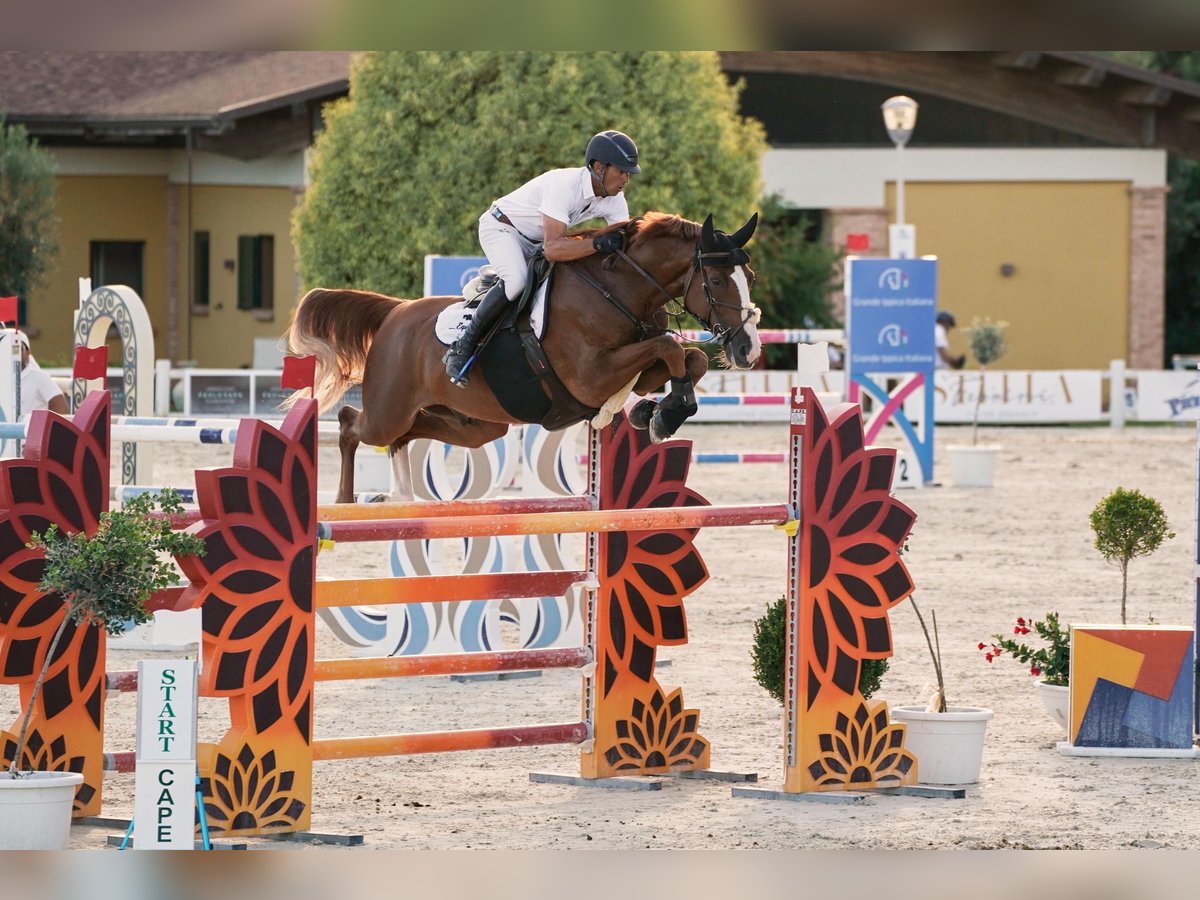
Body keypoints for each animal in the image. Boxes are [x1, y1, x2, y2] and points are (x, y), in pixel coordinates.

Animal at [285, 210, 762, 503]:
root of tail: (395, 311)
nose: (749, 349)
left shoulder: (629, 371)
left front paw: (657, 412)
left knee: (406, 434)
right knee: (352, 424)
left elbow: (688, 358)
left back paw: (399, 496)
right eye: (717, 280)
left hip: (474, 424)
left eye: (750, 276)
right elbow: (670, 347)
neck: (619, 291)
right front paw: (664, 414)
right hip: (390, 408)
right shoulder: (591, 376)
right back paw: (345, 501)